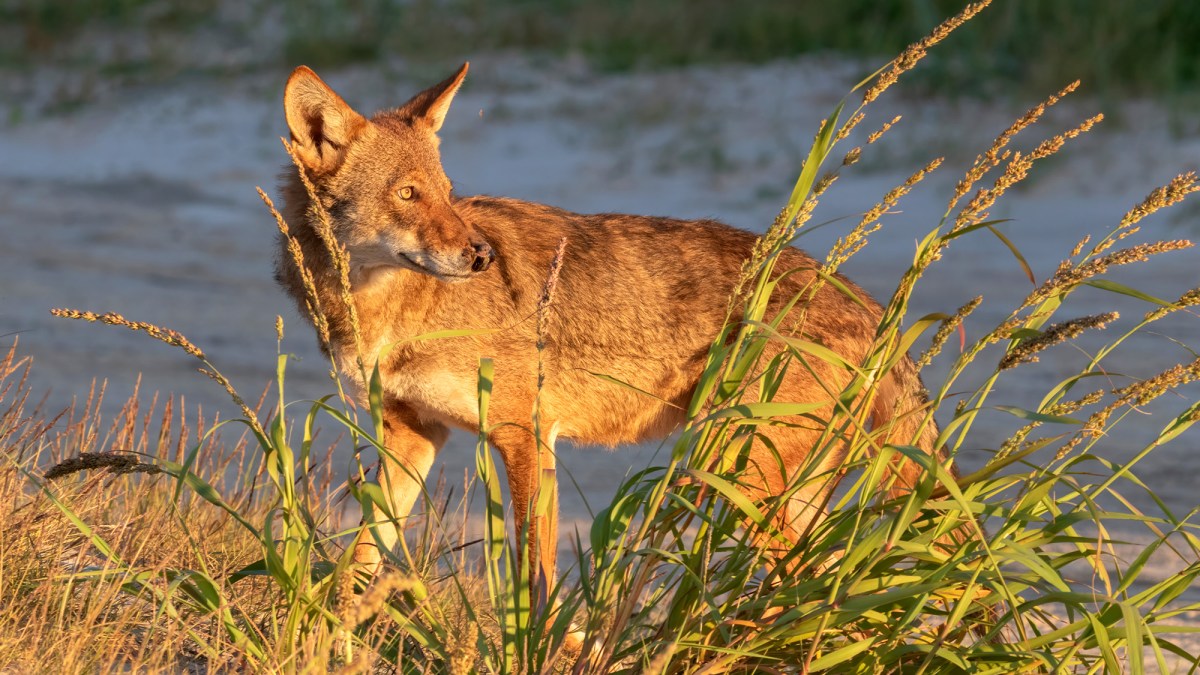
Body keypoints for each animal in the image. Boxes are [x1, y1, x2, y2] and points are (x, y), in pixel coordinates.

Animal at [276, 63, 944, 592]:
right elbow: (361, 558)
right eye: (409, 194)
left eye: (445, 193)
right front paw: (329, 637)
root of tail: (871, 305)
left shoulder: (526, 437)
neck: (389, 311)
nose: (482, 256)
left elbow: (536, 577)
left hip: (742, 483)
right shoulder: (413, 435)